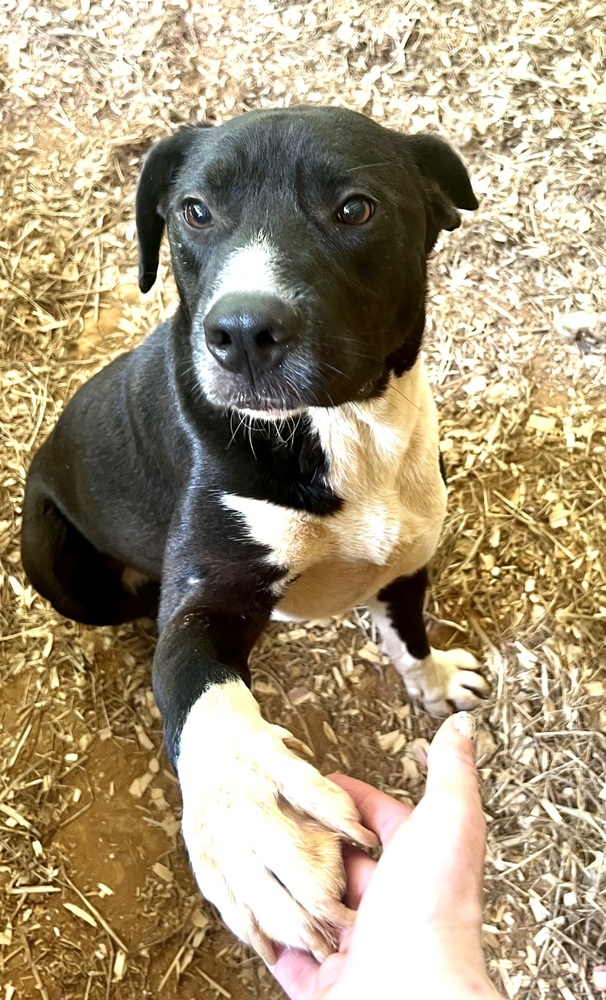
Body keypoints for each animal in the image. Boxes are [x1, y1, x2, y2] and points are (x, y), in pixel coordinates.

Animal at [21, 105, 492, 964]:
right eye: (195, 211)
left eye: (355, 209)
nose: (241, 331)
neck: (341, 430)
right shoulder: (209, 599)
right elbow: (201, 691)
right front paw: (254, 822)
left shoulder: (408, 551)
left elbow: (408, 630)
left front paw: (435, 677)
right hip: (53, 559)